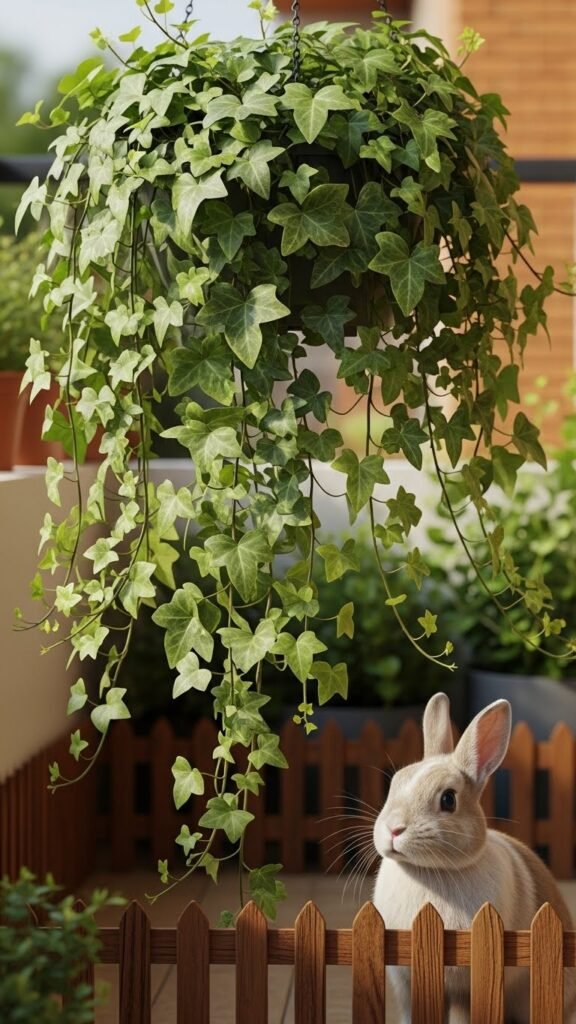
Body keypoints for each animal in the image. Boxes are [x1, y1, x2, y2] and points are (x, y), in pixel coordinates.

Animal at [372, 692, 576, 1023]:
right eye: (394, 783)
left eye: (448, 800)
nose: (393, 829)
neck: (427, 873)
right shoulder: (406, 983)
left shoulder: (466, 988)